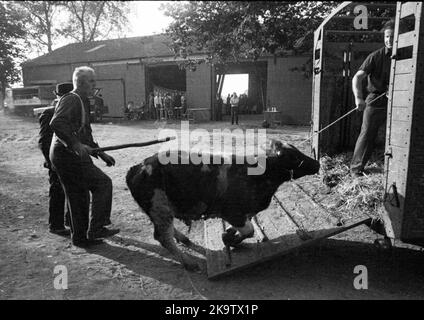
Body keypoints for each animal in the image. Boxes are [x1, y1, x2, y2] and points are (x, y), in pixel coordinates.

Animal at [127, 140, 320, 270]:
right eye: (294, 157)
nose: (317, 163)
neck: (256, 174)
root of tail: (138, 167)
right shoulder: (233, 213)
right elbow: (249, 230)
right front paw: (231, 239)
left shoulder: (242, 213)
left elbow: (243, 228)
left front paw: (229, 234)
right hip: (160, 208)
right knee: (163, 237)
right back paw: (189, 262)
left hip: (163, 211)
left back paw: (184, 239)